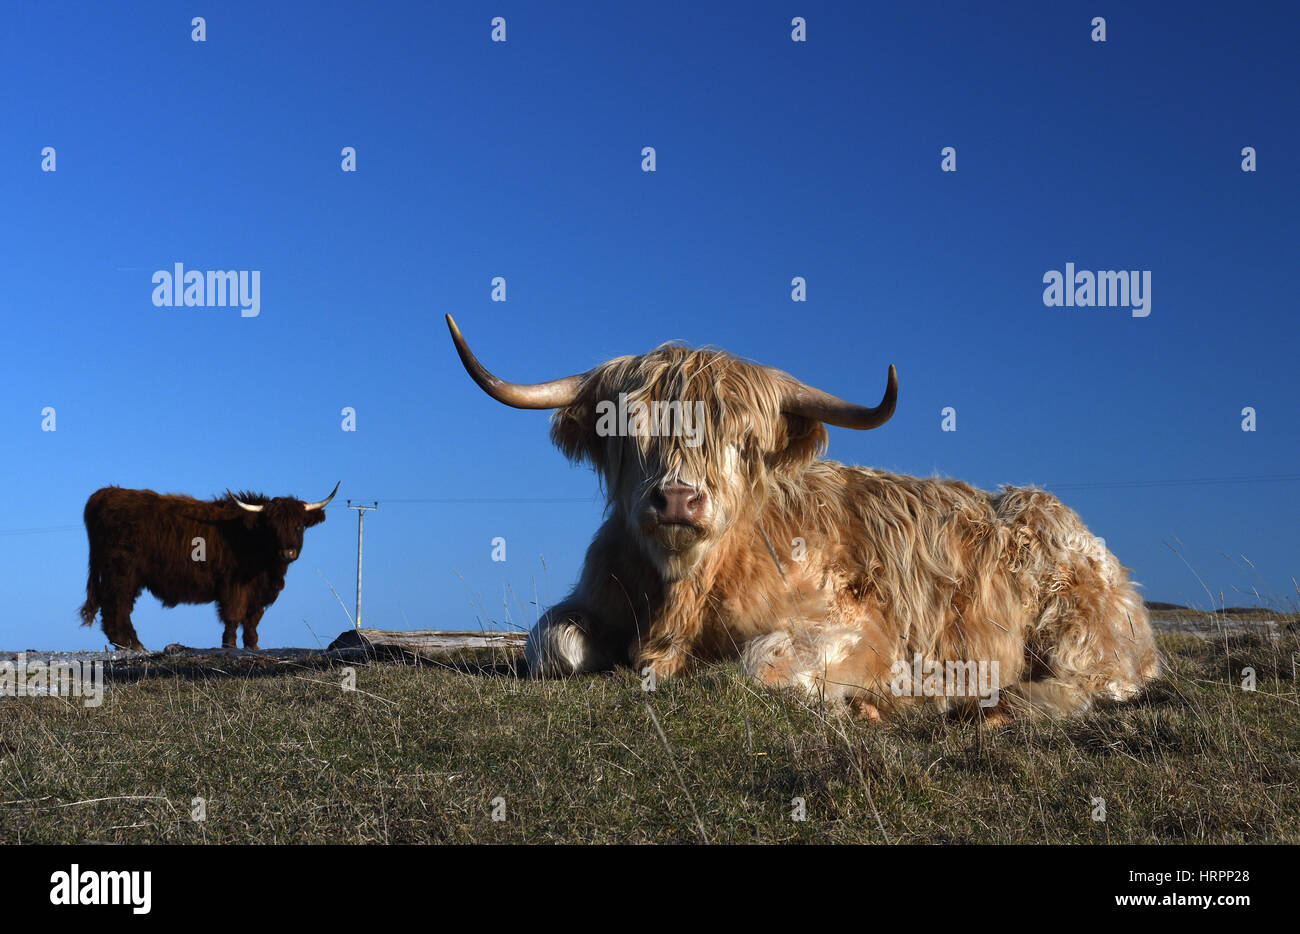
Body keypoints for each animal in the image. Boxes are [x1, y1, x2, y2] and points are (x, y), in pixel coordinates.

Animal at [78, 483, 338, 650]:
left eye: (298, 526)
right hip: (122, 572)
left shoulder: (258, 591)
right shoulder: (234, 585)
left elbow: (252, 618)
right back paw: (131, 644)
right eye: (272, 526)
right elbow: (233, 615)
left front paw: (253, 645)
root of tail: (107, 493)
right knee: (117, 606)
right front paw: (229, 645)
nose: (287, 552)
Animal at [449, 318, 1159, 728]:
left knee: (1098, 682)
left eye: (740, 437)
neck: (684, 598)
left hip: (1079, 625)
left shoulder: (859, 625)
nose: (677, 501)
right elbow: (552, 645)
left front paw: (899, 693)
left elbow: (762, 663)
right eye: (631, 430)